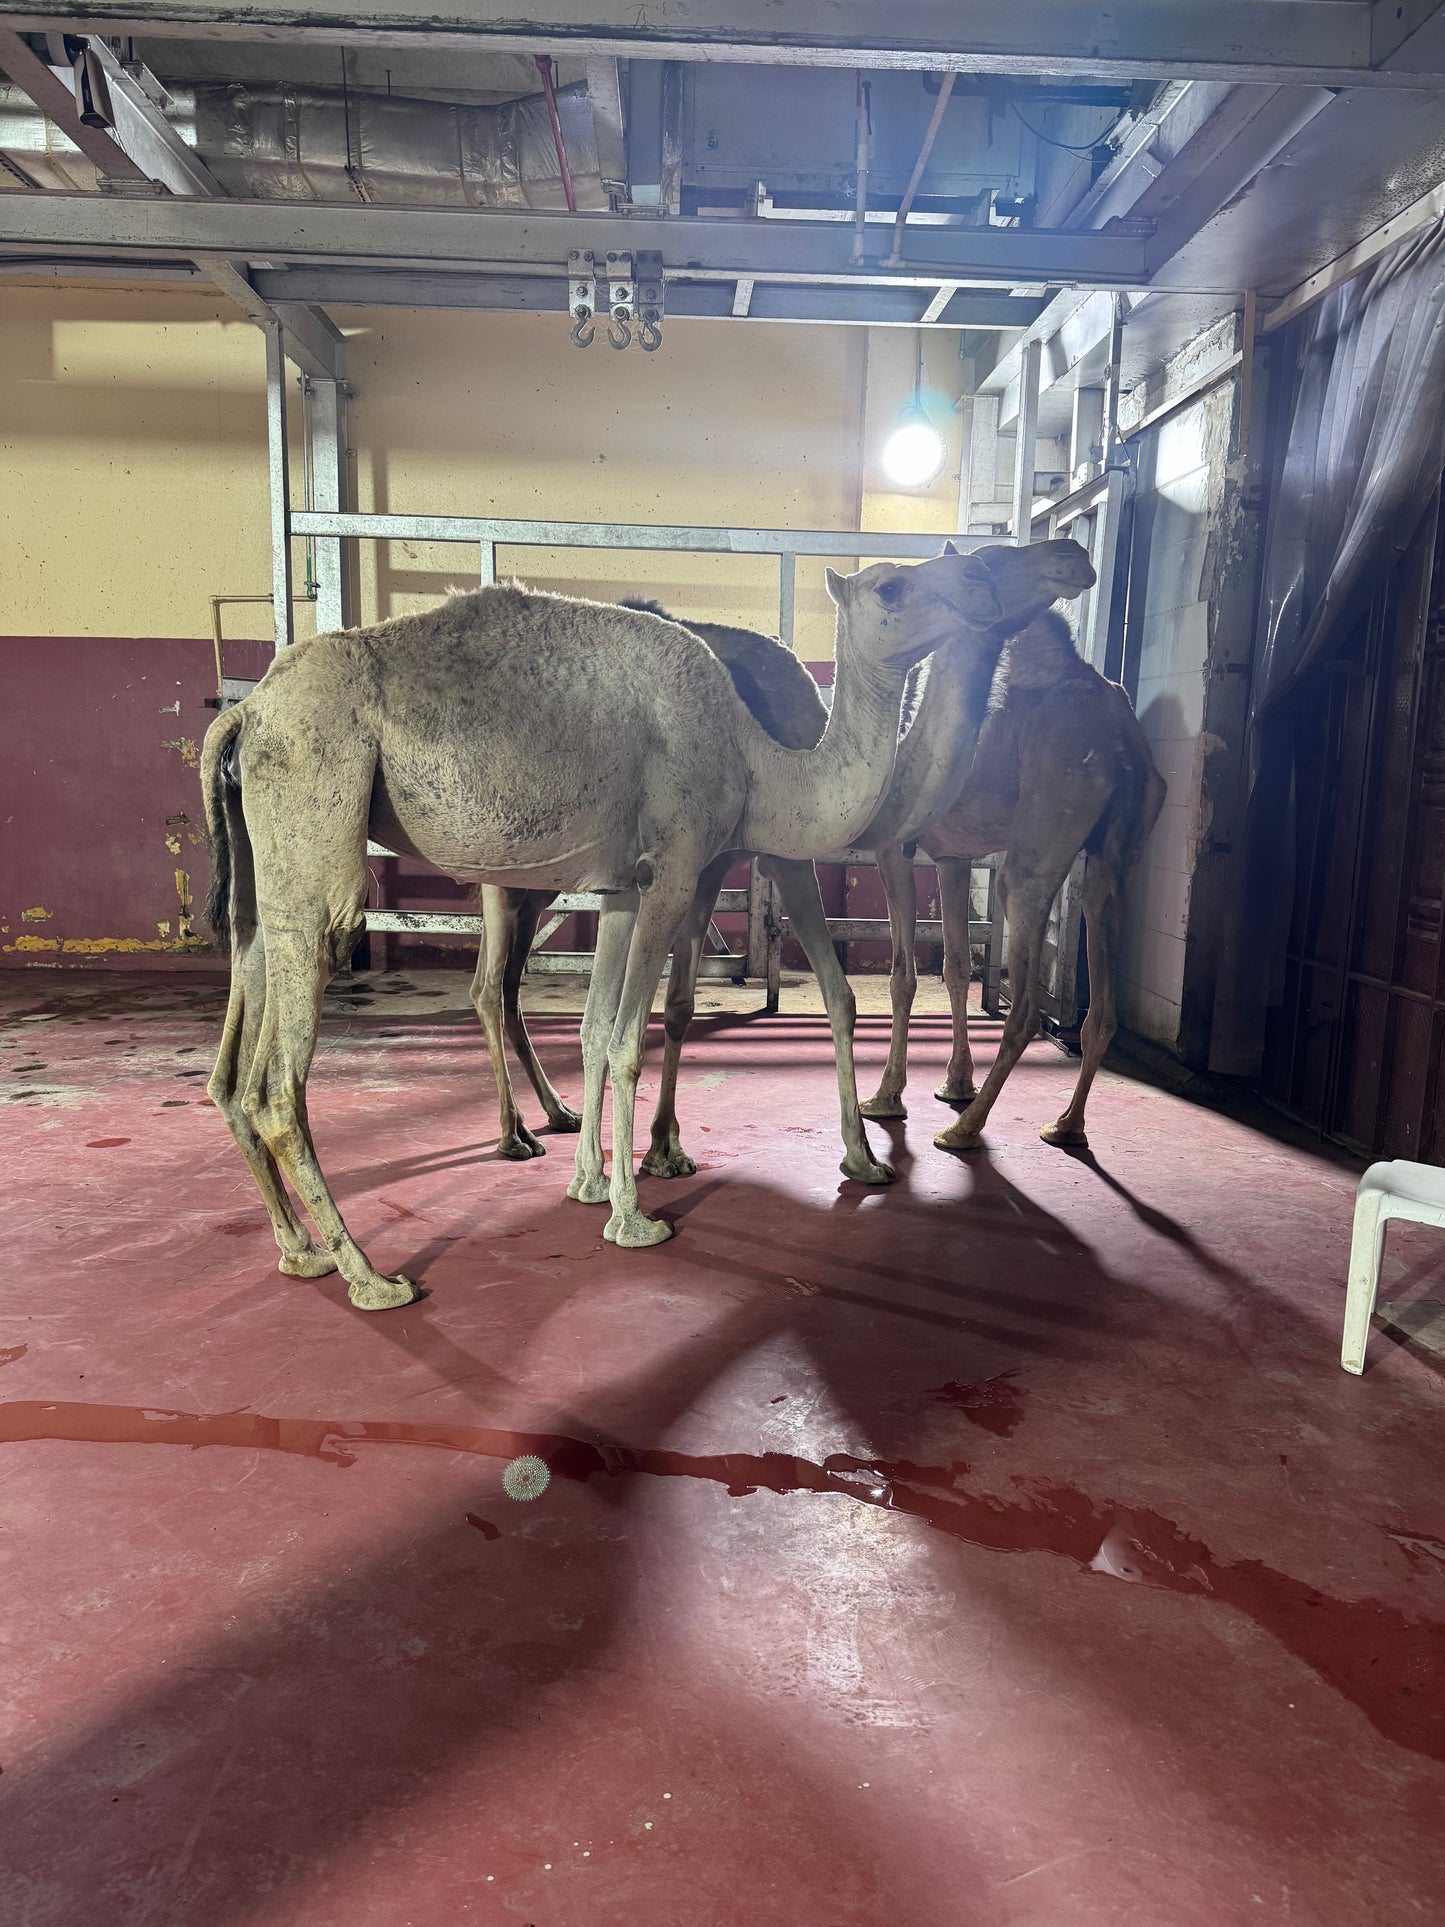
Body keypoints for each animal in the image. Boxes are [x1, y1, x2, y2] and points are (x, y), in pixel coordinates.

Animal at [199, 556, 1005, 1309]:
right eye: (893, 588)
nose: (979, 585)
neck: (754, 759)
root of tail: (245, 714)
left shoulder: (620, 885)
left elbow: (595, 1028)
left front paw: (588, 1183)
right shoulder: (676, 866)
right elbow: (627, 1039)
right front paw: (634, 1217)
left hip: (267, 856)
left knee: (247, 1014)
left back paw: (302, 1250)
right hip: (317, 808)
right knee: (287, 1068)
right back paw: (371, 1276)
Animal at [475, 541, 1095, 1182]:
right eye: (992, 557)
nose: (1069, 555)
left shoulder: (722, 861)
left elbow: (698, 1003)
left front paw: (670, 1146)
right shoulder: (765, 857)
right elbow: (796, 996)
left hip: (538, 879)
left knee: (509, 987)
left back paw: (554, 1113)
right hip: (502, 861)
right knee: (489, 987)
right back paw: (513, 1134)